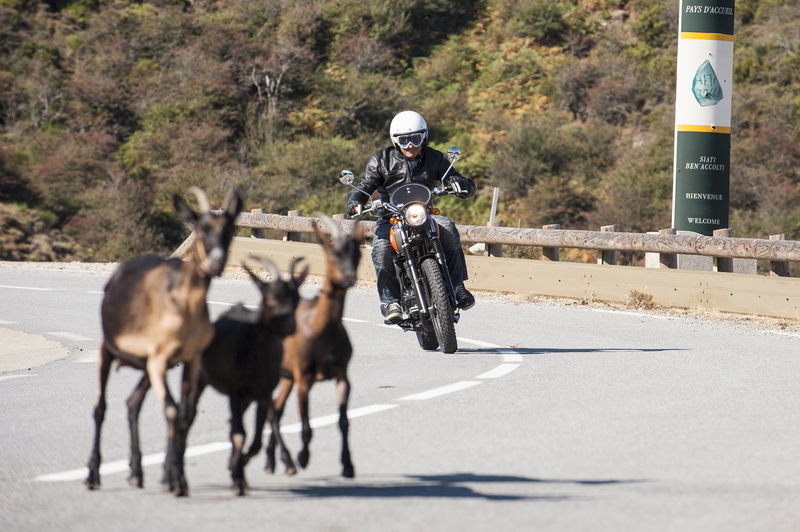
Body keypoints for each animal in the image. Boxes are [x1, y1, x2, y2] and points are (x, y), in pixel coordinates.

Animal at [85, 186, 244, 494]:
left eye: (230, 229)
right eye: (201, 228)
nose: (216, 263)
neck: (183, 303)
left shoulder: (190, 360)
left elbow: (185, 414)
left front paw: (175, 476)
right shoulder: (159, 360)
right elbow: (172, 411)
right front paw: (175, 480)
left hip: (148, 366)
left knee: (133, 403)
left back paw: (136, 472)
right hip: (108, 350)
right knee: (100, 408)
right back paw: (93, 476)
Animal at [198, 256, 308, 496]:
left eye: (297, 299)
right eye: (270, 298)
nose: (290, 326)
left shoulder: (265, 390)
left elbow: (261, 430)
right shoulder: (242, 391)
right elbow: (250, 430)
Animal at [268, 215, 368, 478]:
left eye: (357, 255)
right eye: (332, 252)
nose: (348, 278)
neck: (321, 328)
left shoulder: (342, 376)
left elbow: (344, 421)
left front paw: (348, 465)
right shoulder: (304, 378)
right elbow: (306, 427)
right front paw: (303, 458)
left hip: (286, 378)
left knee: (275, 409)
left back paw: (274, 461)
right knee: (271, 410)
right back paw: (287, 462)